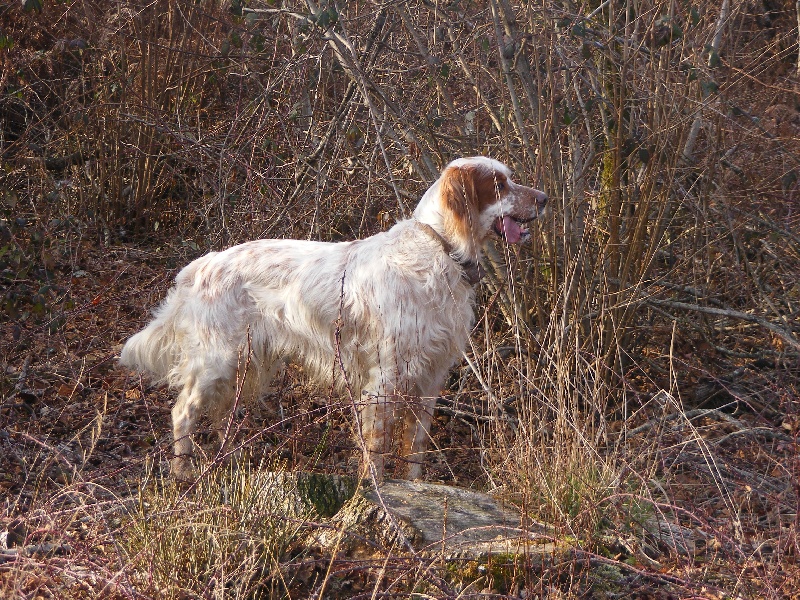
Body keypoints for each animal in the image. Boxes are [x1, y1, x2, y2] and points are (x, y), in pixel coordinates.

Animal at [122, 157, 552, 480]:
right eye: (500, 184)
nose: (545, 198)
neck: (441, 250)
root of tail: (202, 264)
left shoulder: (431, 377)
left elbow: (415, 446)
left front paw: (415, 489)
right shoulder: (385, 379)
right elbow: (376, 451)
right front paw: (376, 496)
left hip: (244, 364)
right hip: (219, 359)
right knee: (183, 412)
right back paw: (181, 473)